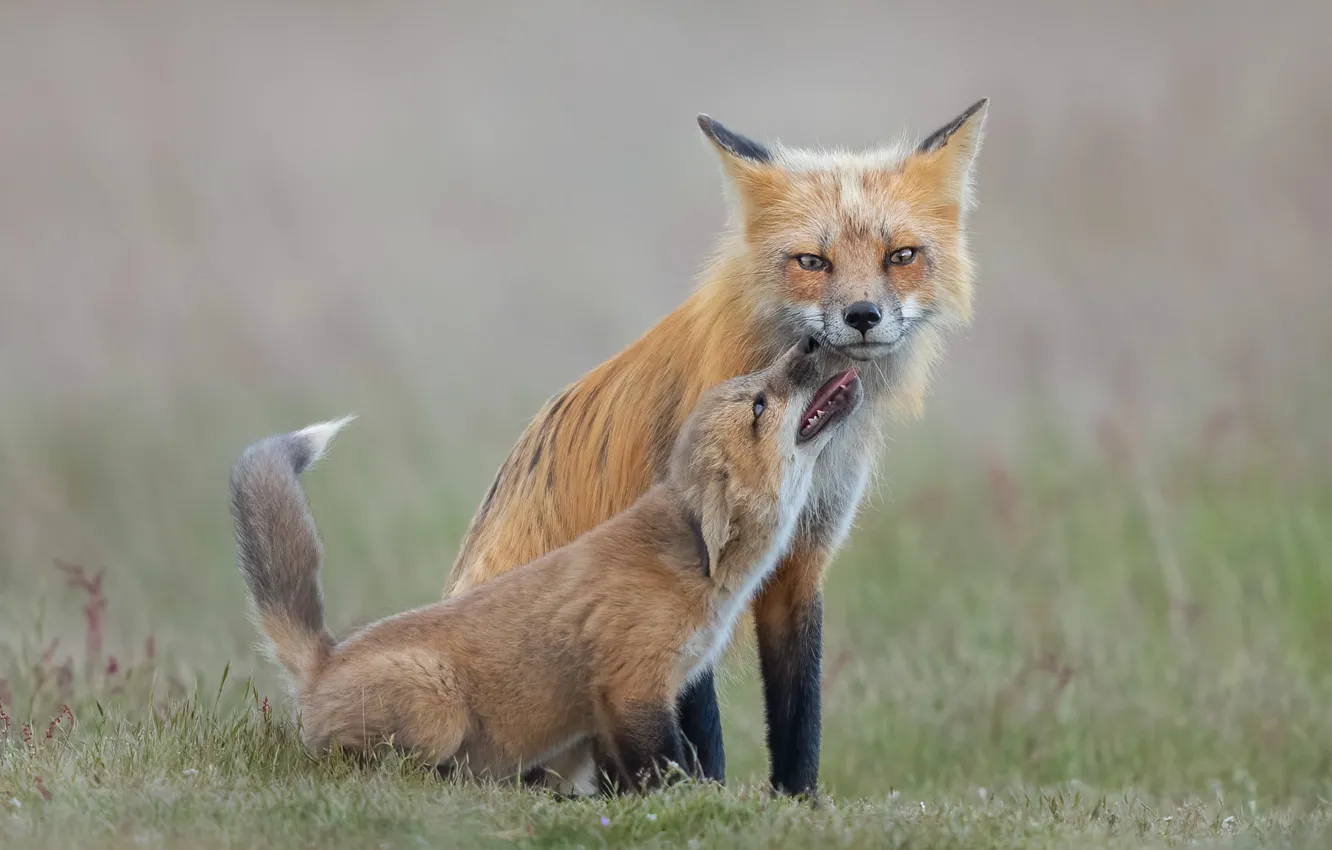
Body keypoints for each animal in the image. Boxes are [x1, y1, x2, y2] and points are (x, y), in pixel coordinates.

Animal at [231, 337, 863, 793]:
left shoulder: (619, 707)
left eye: (754, 388)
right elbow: (669, 770)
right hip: (437, 710)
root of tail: (325, 658)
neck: (696, 577)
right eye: (759, 405)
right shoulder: (633, 687)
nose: (809, 339)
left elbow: (645, 774)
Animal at [444, 100, 988, 797]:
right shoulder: (675, 568)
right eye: (812, 262)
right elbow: (702, 734)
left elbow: (800, 711)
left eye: (902, 255)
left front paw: (798, 802)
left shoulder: (802, 558)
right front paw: (698, 799)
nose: (863, 315)